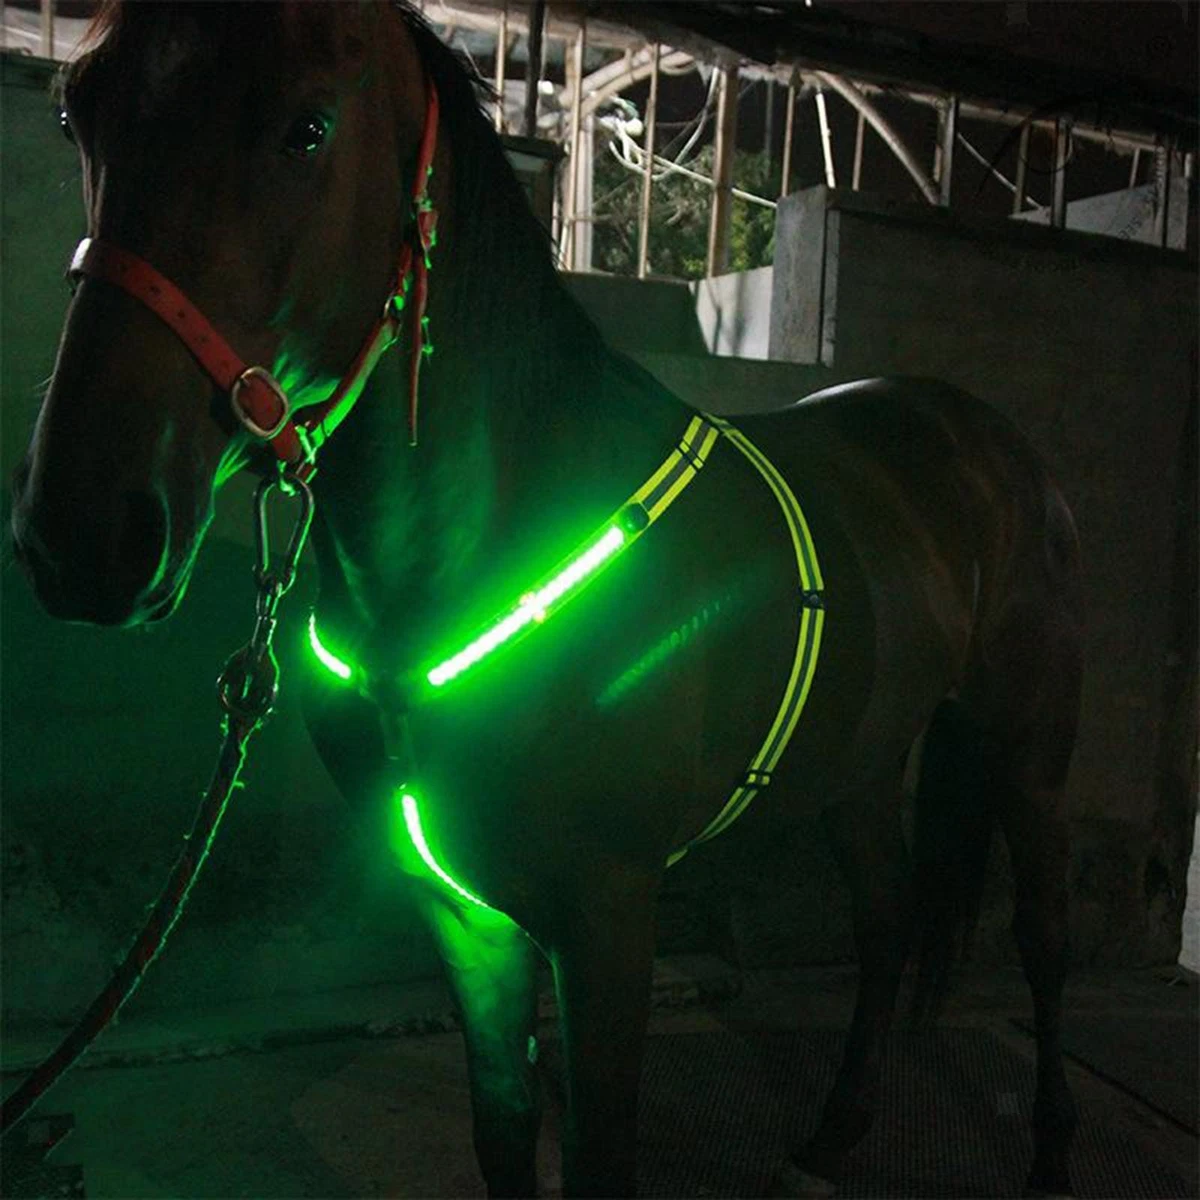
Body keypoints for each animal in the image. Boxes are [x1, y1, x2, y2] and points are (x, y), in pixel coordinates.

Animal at [10, 3, 1084, 1196]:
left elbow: (601, 1147)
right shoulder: (463, 907)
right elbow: (503, 1126)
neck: (491, 547)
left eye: (307, 127)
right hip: (857, 758)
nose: (83, 536)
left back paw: (1050, 1153)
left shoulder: (607, 916)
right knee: (888, 920)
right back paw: (838, 1129)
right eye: (78, 115)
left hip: (1029, 754)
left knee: (1043, 942)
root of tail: (989, 442)